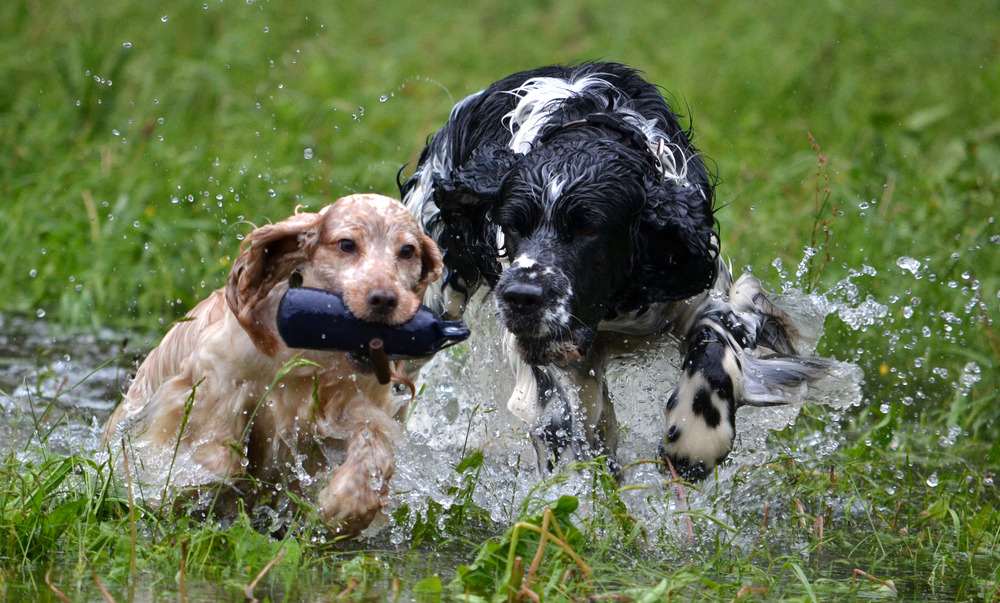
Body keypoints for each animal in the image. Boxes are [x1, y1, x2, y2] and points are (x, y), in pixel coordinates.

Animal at [400, 63, 836, 482]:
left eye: (588, 229)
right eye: (512, 224)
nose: (523, 297)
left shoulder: (702, 291)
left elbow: (714, 348)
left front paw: (695, 441)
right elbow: (553, 410)